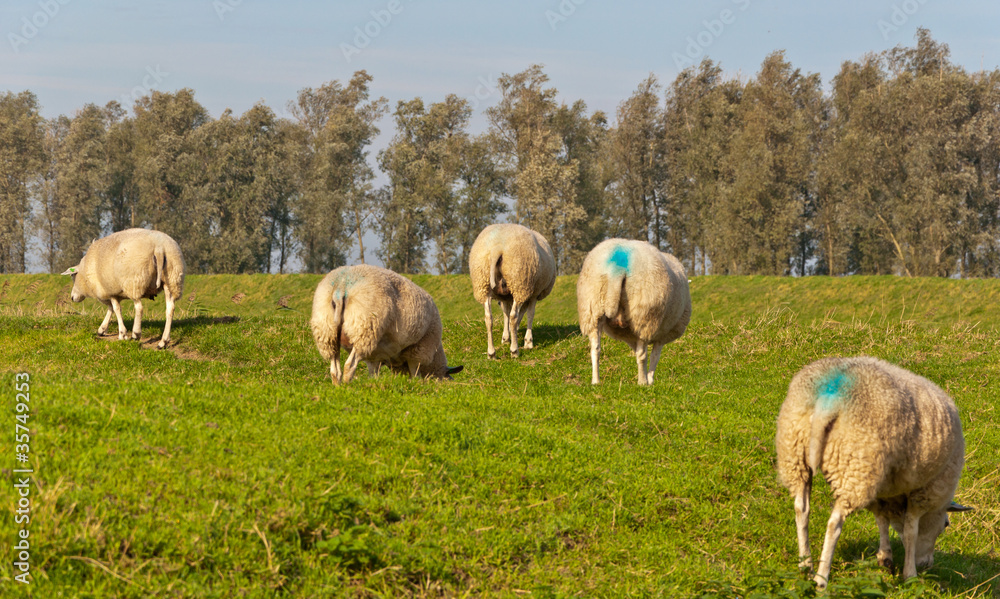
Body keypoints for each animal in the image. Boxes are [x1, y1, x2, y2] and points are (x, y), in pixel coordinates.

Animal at [310, 264, 463, 384]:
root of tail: (342, 285)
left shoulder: (375, 356)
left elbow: (374, 373)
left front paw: (375, 383)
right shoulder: (419, 349)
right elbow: (415, 372)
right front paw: (417, 383)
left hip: (327, 332)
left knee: (334, 369)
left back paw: (338, 387)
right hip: (364, 329)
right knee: (349, 365)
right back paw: (348, 385)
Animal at [469, 223, 556, 359]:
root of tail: (497, 248)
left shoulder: (504, 297)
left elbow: (505, 314)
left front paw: (506, 338)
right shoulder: (534, 294)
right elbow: (529, 314)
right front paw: (528, 342)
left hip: (482, 283)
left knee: (488, 318)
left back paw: (491, 353)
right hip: (519, 281)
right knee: (513, 317)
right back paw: (514, 351)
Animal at [576, 239, 691, 385]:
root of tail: (617, 266)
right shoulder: (662, 335)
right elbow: (654, 356)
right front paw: (650, 379)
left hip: (593, 307)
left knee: (595, 348)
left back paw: (596, 381)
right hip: (645, 315)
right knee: (642, 355)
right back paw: (642, 382)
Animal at [775, 356, 972, 589]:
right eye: (945, 525)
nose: (927, 565)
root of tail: (831, 394)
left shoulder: (881, 487)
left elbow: (881, 518)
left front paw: (885, 557)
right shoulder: (925, 491)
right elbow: (910, 531)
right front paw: (910, 574)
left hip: (796, 453)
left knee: (801, 508)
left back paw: (806, 566)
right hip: (856, 465)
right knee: (834, 524)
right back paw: (821, 579)